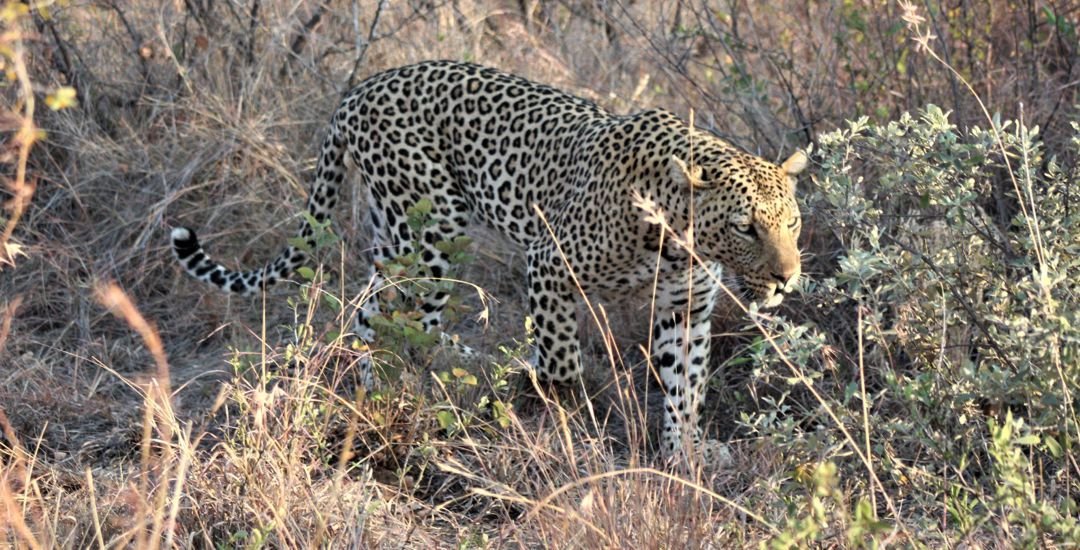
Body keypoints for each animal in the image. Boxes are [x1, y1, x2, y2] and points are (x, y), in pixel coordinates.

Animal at [171, 60, 808, 464]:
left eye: (792, 223)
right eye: (746, 227)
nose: (786, 279)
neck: (673, 237)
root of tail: (360, 88)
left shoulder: (686, 306)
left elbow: (685, 385)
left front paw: (685, 456)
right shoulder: (549, 264)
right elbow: (561, 361)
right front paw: (560, 414)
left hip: (397, 233)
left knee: (379, 311)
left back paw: (410, 380)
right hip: (431, 229)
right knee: (396, 318)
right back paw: (404, 392)